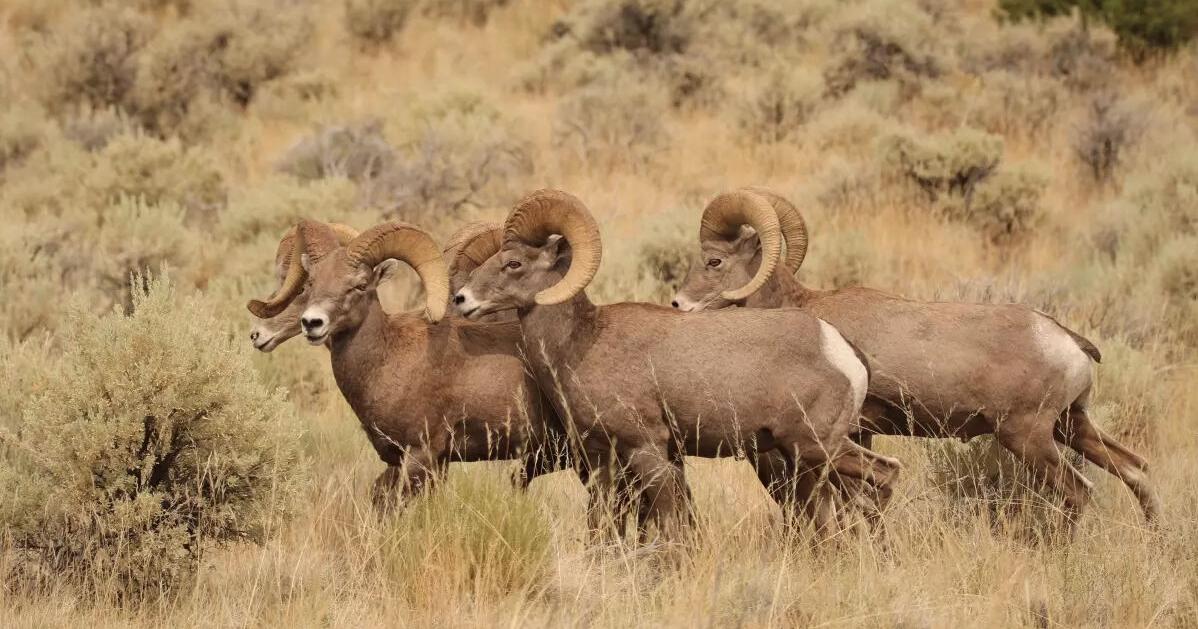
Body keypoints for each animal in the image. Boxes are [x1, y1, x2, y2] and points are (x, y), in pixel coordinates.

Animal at [244, 219, 570, 505]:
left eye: (360, 285)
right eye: (310, 283)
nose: (312, 323)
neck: (388, 360)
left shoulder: (422, 456)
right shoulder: (401, 461)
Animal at [450, 189, 900, 536]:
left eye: (513, 263)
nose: (461, 300)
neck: (583, 343)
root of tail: (842, 352)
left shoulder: (648, 449)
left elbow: (671, 523)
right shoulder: (604, 459)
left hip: (816, 445)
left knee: (883, 478)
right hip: (811, 454)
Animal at [675, 188, 1159, 524]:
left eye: (714, 262)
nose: (679, 305)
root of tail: (1067, 341)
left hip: (1030, 437)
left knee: (1078, 492)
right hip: (1072, 426)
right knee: (1137, 472)